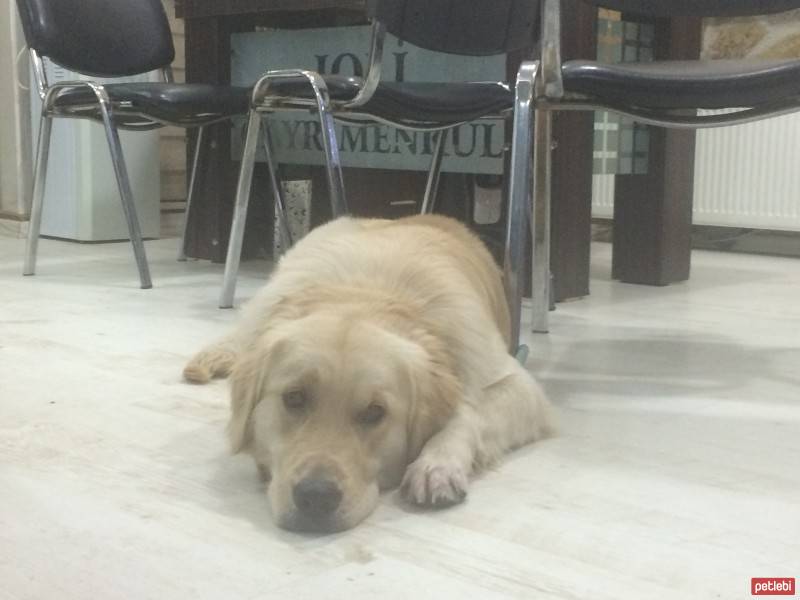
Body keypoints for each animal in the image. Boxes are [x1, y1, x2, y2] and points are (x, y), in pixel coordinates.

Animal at [184, 213, 552, 532]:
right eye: (294, 398)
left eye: (376, 412)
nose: (316, 497)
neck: (366, 293)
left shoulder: (520, 386)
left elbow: (468, 411)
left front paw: (436, 465)